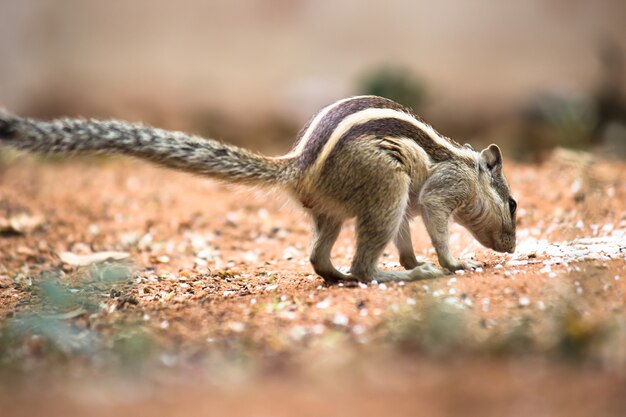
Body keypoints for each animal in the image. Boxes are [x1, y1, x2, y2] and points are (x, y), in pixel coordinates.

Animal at [0, 95, 516, 282]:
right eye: (512, 204)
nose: (511, 248)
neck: (470, 169)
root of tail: (298, 167)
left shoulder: (408, 210)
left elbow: (408, 239)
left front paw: (414, 259)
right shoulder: (434, 195)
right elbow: (436, 223)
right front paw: (452, 263)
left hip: (346, 210)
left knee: (319, 256)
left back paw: (340, 275)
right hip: (385, 190)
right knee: (363, 265)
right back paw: (394, 277)